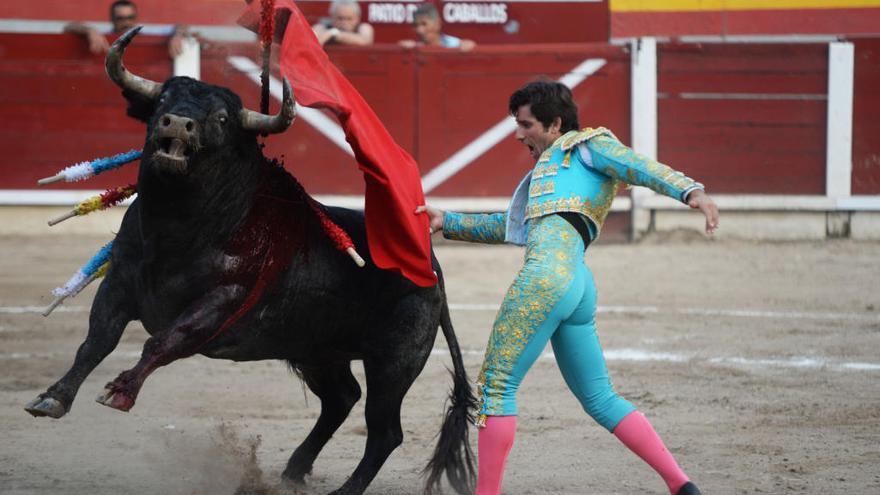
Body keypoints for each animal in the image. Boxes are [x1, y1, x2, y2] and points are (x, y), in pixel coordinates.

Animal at [24, 28, 474, 495]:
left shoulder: (222, 300)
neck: (177, 229)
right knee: (341, 399)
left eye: (222, 118)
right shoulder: (118, 284)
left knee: (384, 431)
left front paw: (121, 390)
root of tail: (430, 267)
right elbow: (97, 340)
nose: (178, 123)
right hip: (316, 349)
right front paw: (52, 397)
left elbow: (162, 340)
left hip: (394, 362)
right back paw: (294, 469)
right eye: (163, 99)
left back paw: (343, 489)